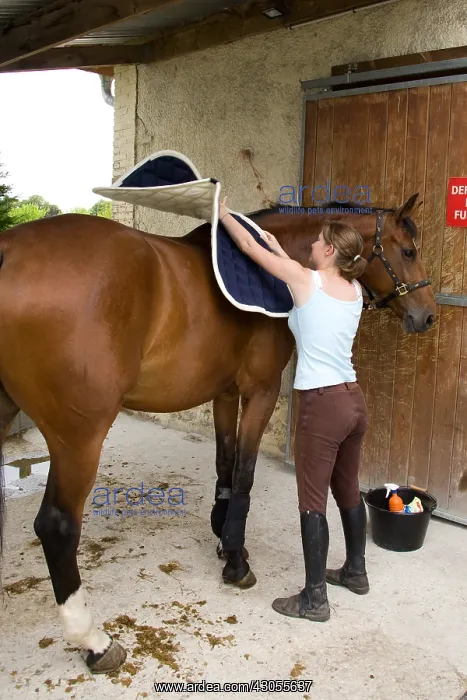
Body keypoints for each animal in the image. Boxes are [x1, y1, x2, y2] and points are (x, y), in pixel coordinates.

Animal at [0, 193, 435, 673]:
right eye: (408, 251)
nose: (427, 315)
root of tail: (9, 250)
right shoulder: (260, 392)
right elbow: (244, 474)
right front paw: (237, 561)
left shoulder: (225, 394)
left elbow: (226, 468)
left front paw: (224, 536)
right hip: (78, 438)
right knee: (58, 526)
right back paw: (93, 641)